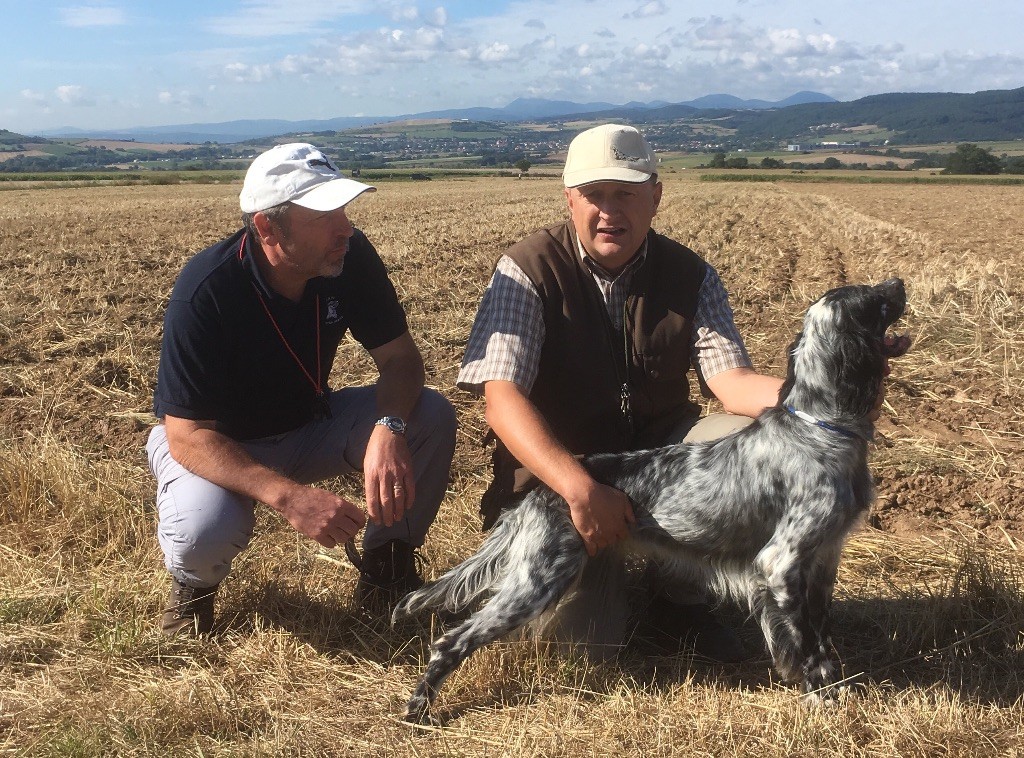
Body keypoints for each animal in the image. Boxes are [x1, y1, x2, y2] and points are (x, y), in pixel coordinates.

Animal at [393, 276, 913, 721]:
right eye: (872, 299)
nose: (899, 283)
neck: (820, 427)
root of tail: (541, 493)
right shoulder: (781, 563)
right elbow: (806, 646)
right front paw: (823, 699)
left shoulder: (823, 560)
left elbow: (822, 637)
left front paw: (838, 689)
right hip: (536, 582)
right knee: (452, 641)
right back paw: (418, 709)